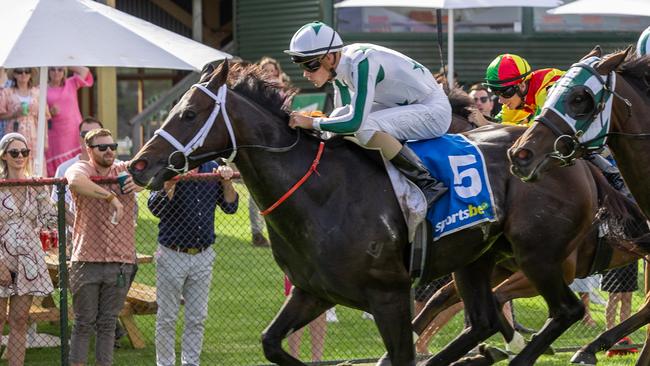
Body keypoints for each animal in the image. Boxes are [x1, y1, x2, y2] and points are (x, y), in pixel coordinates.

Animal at [126, 61, 616, 364]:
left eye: (189, 114)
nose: (138, 165)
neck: (321, 194)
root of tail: (571, 155)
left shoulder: (389, 295)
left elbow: (401, 352)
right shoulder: (312, 291)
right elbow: (271, 343)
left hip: (538, 256)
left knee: (567, 310)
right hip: (476, 260)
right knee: (484, 321)